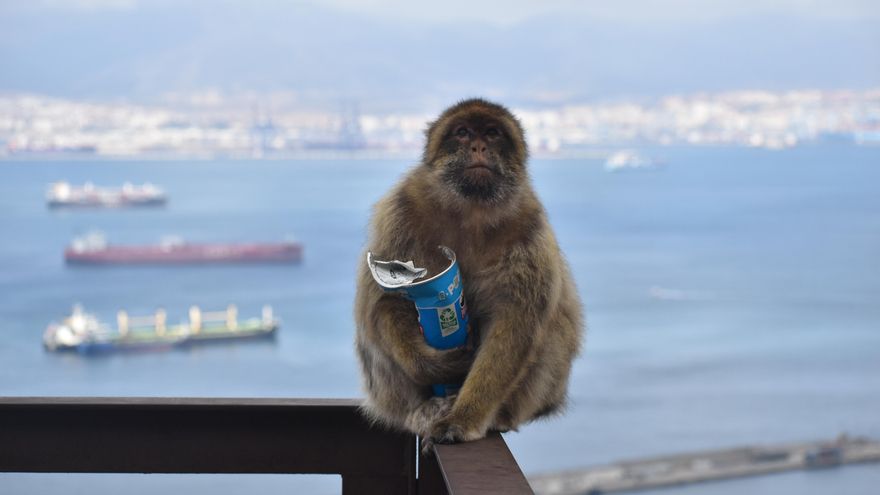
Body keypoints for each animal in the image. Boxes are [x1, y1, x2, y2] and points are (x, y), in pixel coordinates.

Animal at [354, 98, 584, 449]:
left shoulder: (530, 229)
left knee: (555, 328)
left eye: (492, 133)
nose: (478, 146)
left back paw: (498, 415)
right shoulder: (400, 210)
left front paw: (464, 418)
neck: (471, 211)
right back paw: (424, 408)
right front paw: (435, 366)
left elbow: (515, 324)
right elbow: (384, 300)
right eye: (462, 133)